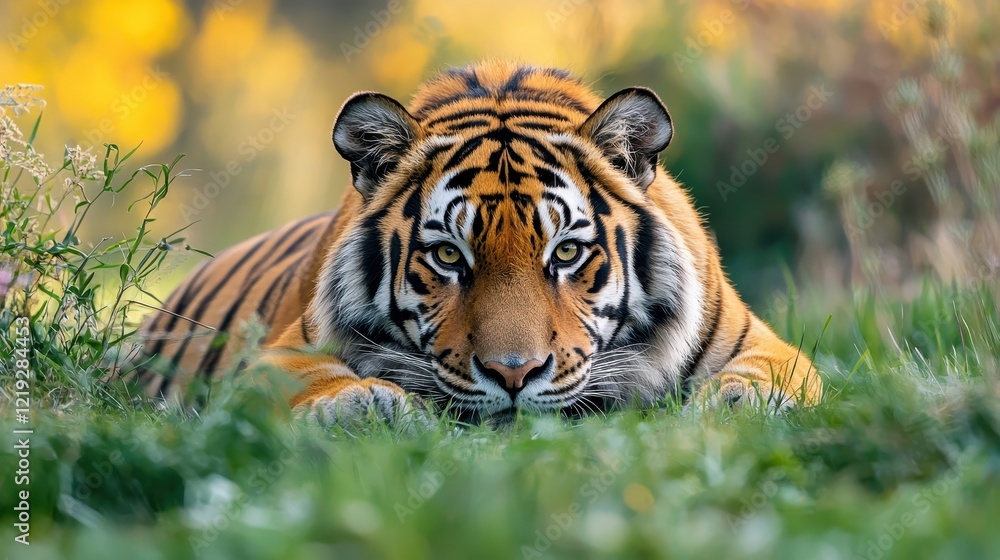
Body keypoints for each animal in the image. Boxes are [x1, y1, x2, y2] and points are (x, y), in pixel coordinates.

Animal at [136, 60, 821, 427]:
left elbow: (770, 372)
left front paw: (738, 401)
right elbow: (310, 379)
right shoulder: (279, 353)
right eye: (448, 256)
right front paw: (364, 403)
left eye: (566, 253)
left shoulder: (759, 339)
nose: (512, 375)